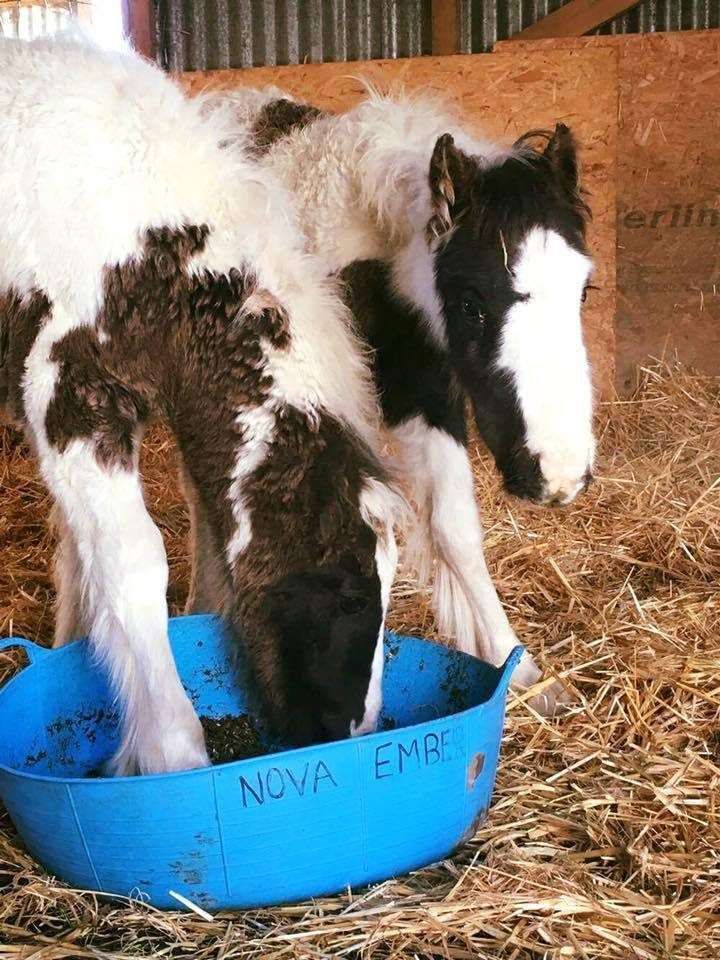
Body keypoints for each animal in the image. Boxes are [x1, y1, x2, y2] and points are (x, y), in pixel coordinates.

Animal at [197, 86, 596, 712]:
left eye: (582, 290)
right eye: (471, 304)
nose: (558, 475)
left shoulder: (429, 393)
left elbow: (456, 527)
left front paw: (518, 669)